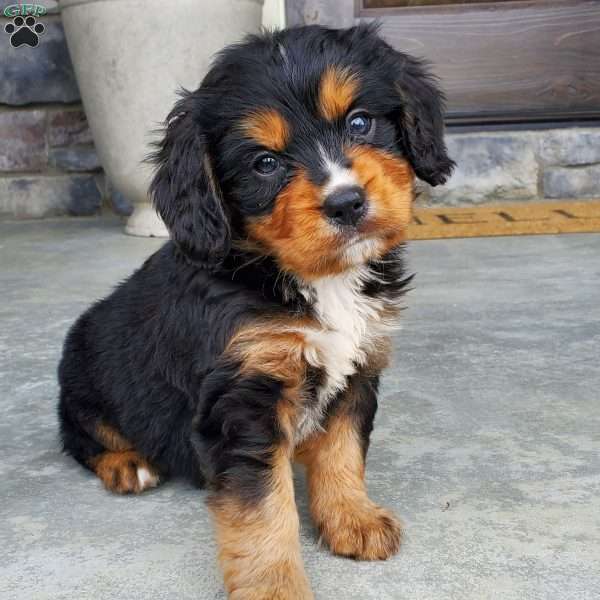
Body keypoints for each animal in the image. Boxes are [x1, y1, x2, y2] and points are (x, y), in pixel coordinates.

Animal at [58, 24, 452, 600]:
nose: (347, 203)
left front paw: (352, 519)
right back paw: (126, 464)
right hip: (86, 381)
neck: (316, 280)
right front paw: (275, 585)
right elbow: (262, 507)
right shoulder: (243, 398)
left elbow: (343, 451)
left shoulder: (359, 366)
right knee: (81, 435)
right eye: (264, 163)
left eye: (360, 121)